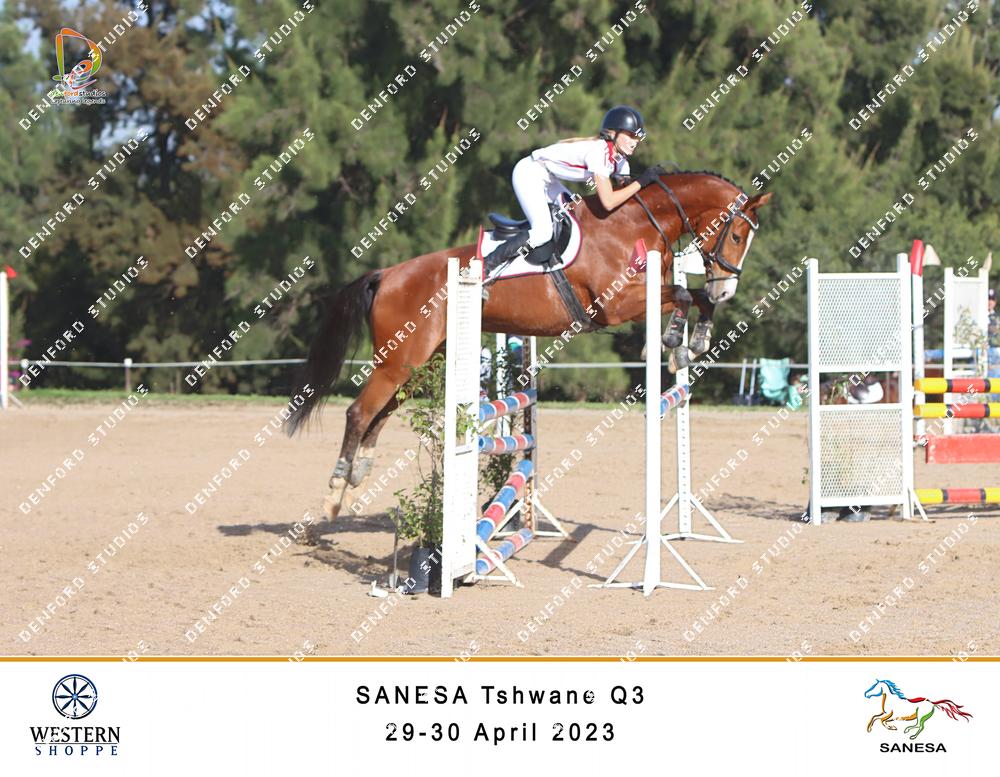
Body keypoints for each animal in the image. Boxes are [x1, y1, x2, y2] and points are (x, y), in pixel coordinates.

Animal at [285, 171, 772, 520]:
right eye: (735, 235)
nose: (729, 289)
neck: (633, 223)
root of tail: (386, 274)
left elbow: (695, 297)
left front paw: (693, 341)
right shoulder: (616, 305)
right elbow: (687, 295)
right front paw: (674, 339)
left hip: (417, 363)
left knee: (379, 415)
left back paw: (358, 481)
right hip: (399, 362)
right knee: (359, 413)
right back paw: (334, 496)